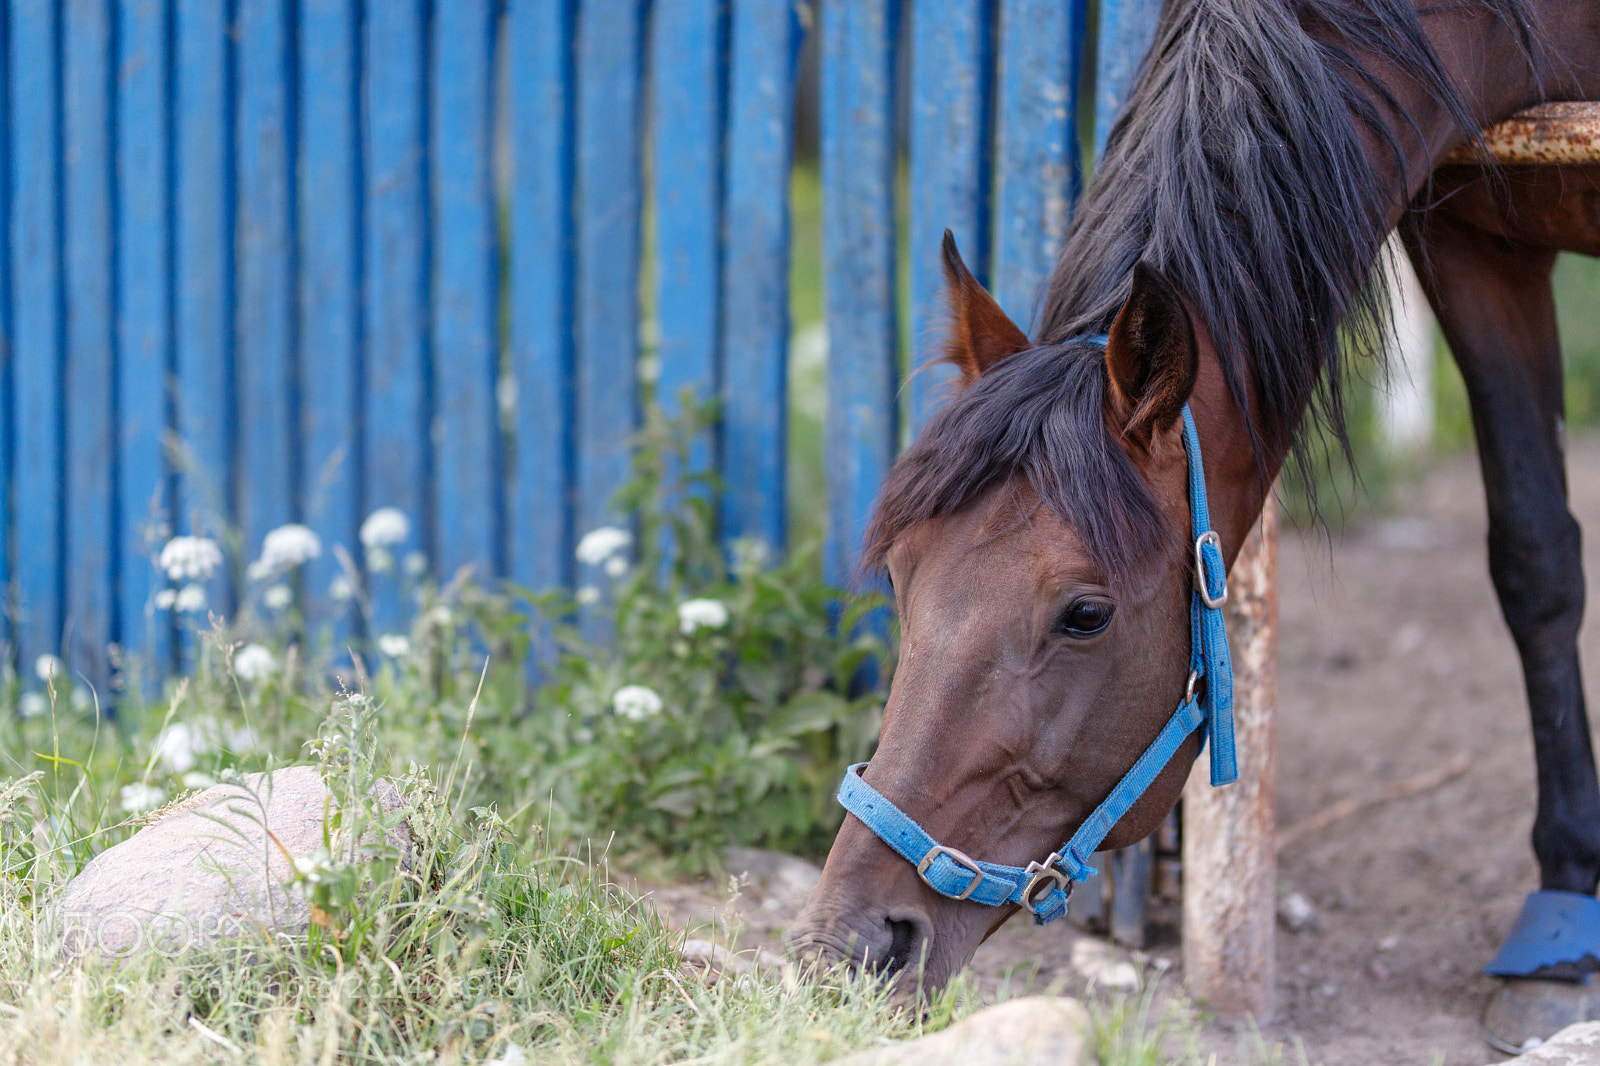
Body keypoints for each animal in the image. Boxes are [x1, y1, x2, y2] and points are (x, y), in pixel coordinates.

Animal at [788, 0, 1600, 1029]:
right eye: (900, 577)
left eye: (1085, 615)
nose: (845, 950)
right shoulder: (1474, 245)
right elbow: (1536, 554)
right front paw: (1566, 904)